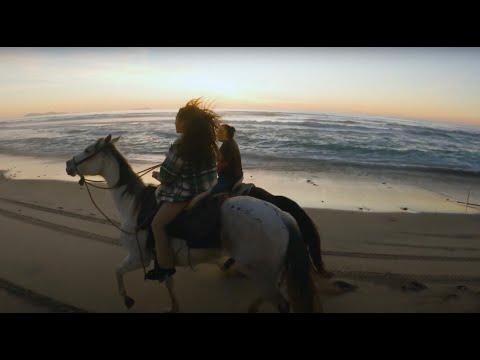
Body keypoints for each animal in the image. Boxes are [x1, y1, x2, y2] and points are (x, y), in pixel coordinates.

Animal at [65, 135, 322, 312]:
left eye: (88, 150)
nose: (68, 164)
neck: (134, 205)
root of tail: (280, 215)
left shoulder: (139, 257)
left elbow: (117, 272)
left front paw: (127, 300)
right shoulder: (162, 258)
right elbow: (169, 283)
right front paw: (173, 307)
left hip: (259, 270)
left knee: (280, 302)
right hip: (267, 272)